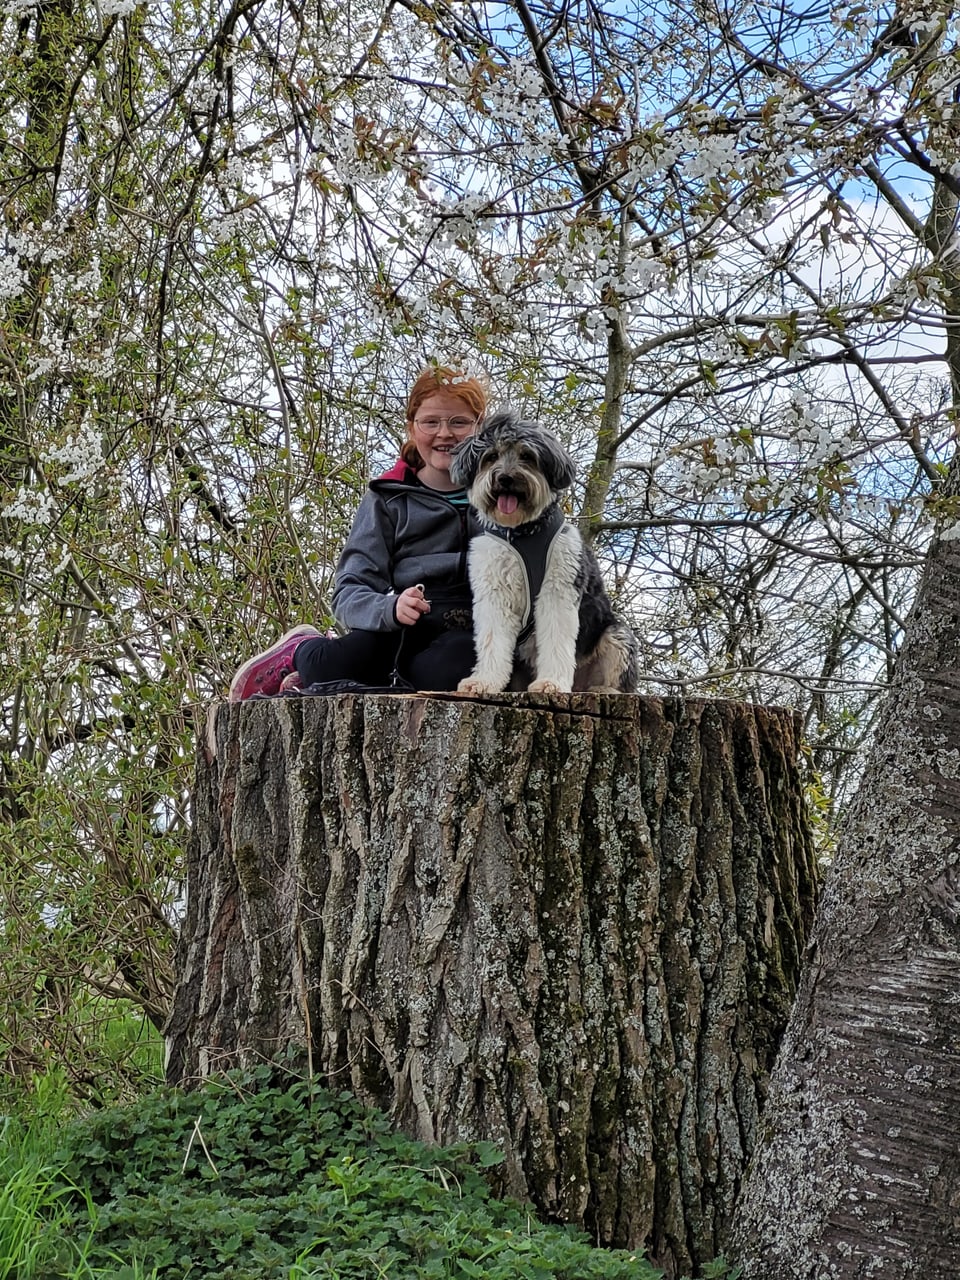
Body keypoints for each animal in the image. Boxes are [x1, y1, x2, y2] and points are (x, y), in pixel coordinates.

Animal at [450, 409, 640, 696]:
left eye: (527, 456)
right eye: (491, 456)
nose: (505, 478)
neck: (521, 533)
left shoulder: (557, 590)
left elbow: (556, 638)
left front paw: (551, 682)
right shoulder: (494, 593)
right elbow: (492, 639)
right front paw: (484, 681)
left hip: (616, 634)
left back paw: (603, 689)